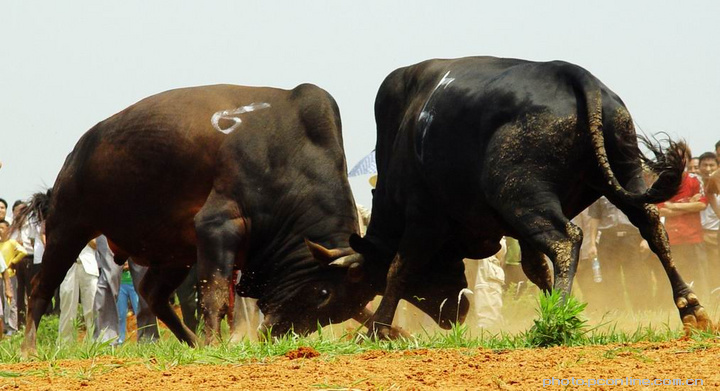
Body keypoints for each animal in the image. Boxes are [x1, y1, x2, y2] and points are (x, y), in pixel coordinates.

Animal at [23, 83, 382, 352]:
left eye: (336, 311)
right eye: (324, 293)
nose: (275, 333)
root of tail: (76, 152)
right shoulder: (217, 226)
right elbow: (215, 294)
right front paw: (213, 343)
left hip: (174, 252)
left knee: (152, 292)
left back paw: (192, 341)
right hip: (68, 228)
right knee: (41, 287)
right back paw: (29, 348)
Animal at [346, 56, 712, 340]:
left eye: (369, 275)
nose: (454, 315)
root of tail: (574, 74)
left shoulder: (424, 217)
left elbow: (400, 267)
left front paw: (377, 329)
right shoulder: (515, 230)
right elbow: (536, 269)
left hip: (519, 194)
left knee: (567, 240)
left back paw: (556, 320)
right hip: (622, 172)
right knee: (652, 227)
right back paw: (692, 309)